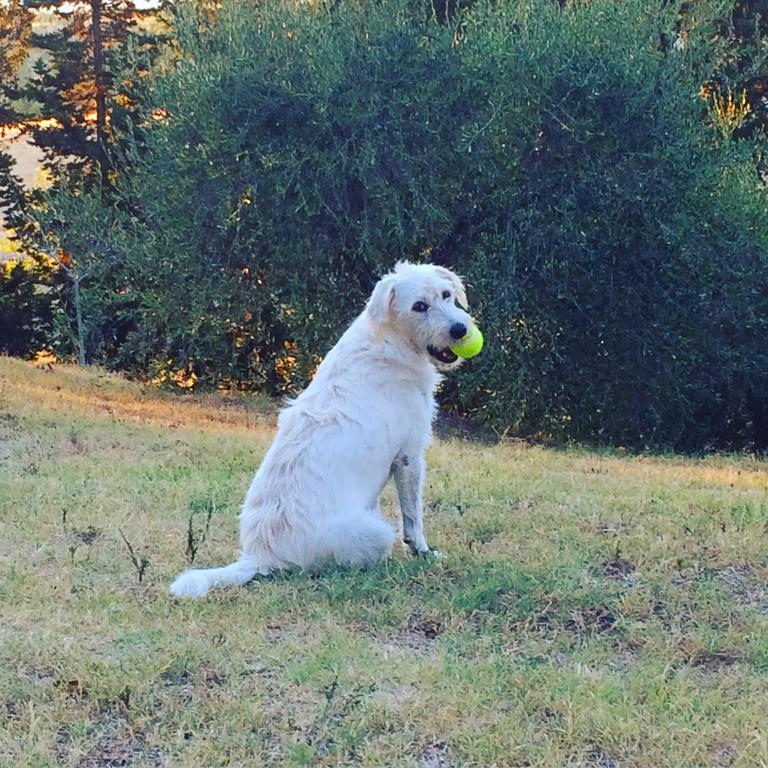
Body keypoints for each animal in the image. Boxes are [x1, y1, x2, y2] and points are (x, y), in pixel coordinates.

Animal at [171, 260, 474, 596]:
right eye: (419, 306)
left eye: (446, 295)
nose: (460, 330)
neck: (389, 341)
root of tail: (260, 556)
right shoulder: (409, 456)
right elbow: (413, 517)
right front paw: (423, 552)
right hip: (378, 532)